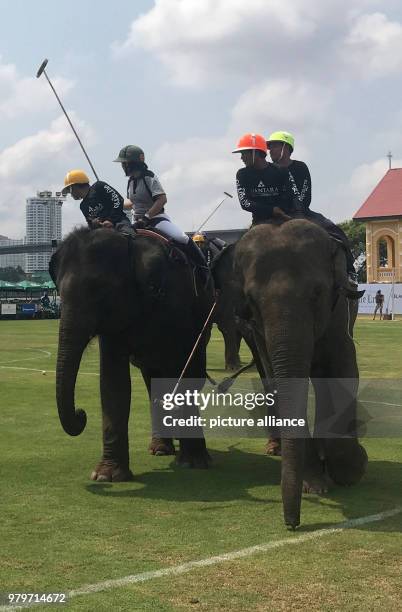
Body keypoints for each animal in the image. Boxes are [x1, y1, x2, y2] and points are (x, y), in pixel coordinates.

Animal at [49, 227, 215, 480]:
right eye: (58, 291)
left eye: (100, 290)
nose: (81, 413)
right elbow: (113, 382)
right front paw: (106, 476)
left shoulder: (184, 308)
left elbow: (190, 374)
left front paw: (194, 463)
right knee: (154, 382)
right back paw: (160, 449)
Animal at [234, 221, 370, 532]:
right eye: (251, 301)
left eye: (317, 293)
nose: (292, 524)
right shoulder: (259, 332)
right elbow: (277, 379)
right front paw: (315, 485)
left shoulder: (339, 313)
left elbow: (342, 370)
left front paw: (353, 470)